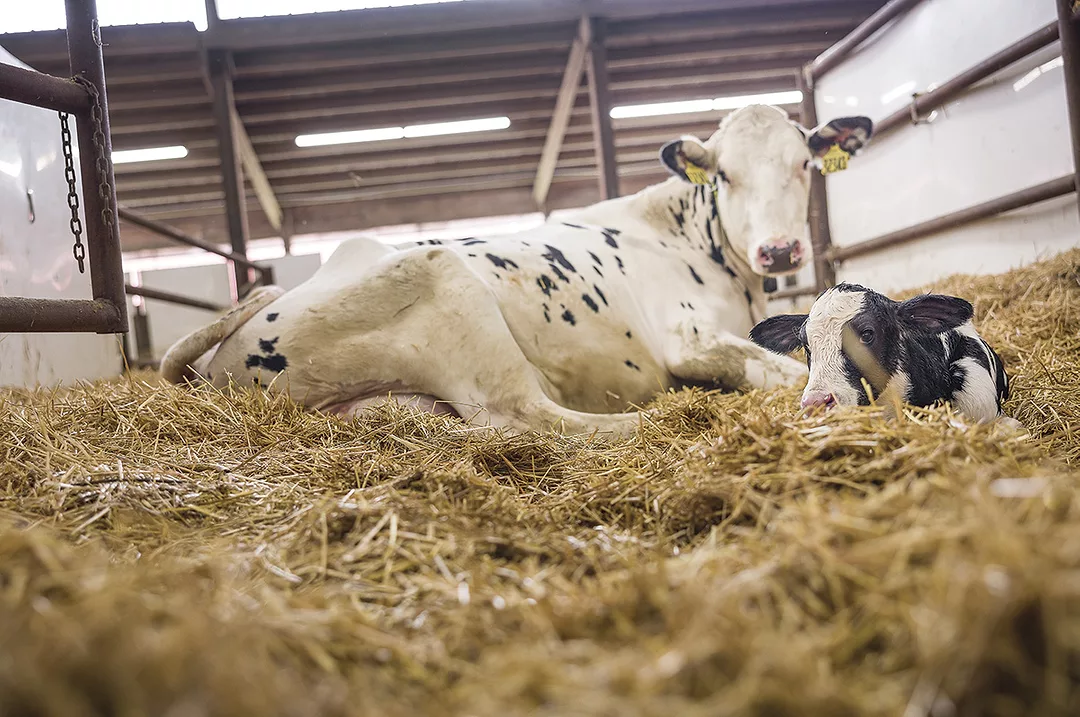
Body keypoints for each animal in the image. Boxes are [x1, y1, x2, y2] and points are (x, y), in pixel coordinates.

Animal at [161, 104, 875, 436]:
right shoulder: (686, 338)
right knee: (528, 415)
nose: (779, 251)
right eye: (724, 174)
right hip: (445, 283)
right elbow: (786, 371)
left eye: (804, 165)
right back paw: (660, 420)